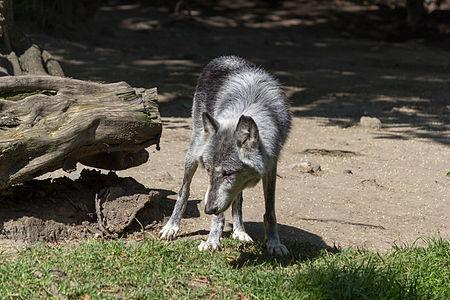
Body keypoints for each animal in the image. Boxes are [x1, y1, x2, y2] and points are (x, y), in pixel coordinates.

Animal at [158, 56, 292, 255]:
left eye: (228, 173)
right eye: (208, 170)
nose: (207, 209)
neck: (250, 102)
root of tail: (225, 58)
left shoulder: (271, 165)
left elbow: (270, 210)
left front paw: (274, 243)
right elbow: (218, 215)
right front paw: (212, 241)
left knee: (238, 199)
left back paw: (240, 231)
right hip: (193, 151)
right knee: (184, 191)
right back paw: (171, 227)